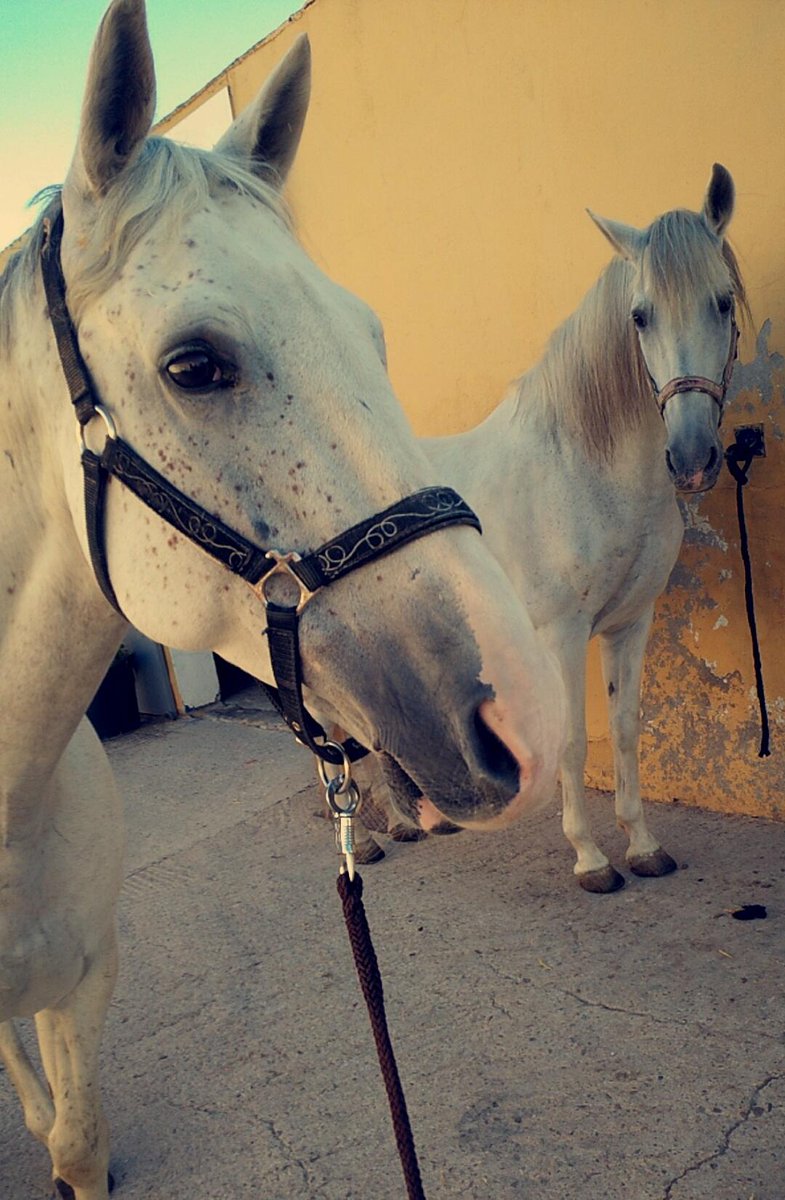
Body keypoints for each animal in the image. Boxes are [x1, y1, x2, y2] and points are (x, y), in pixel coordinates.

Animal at [349, 165, 745, 894]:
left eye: (723, 302)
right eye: (639, 315)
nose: (691, 458)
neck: (584, 467)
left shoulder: (630, 623)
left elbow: (624, 730)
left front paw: (642, 847)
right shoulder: (559, 632)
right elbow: (572, 740)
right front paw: (590, 860)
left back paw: (401, 826)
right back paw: (364, 844)